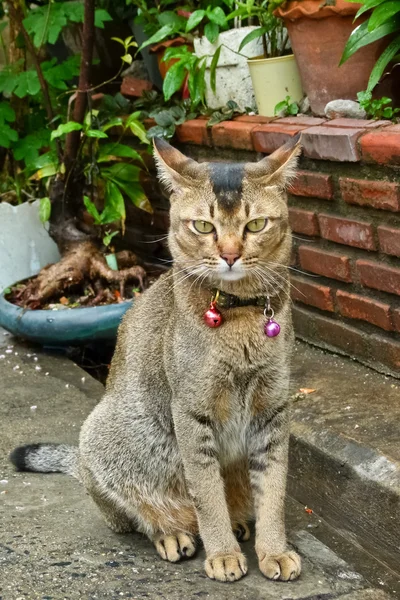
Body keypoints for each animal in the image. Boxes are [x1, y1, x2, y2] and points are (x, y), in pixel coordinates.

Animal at [10, 136, 300, 580]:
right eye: (203, 226)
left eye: (255, 225)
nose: (230, 254)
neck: (242, 316)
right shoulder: (191, 410)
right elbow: (206, 494)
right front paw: (222, 554)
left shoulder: (274, 409)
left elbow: (273, 492)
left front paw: (274, 551)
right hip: (104, 439)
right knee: (140, 518)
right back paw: (174, 534)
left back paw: (236, 524)